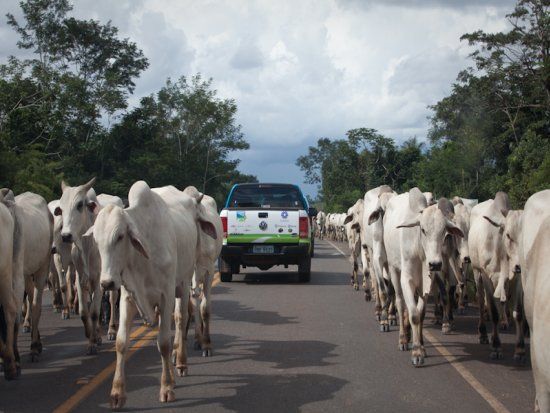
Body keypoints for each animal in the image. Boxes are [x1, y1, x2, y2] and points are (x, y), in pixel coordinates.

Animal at [92, 182, 216, 408]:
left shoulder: (166, 295)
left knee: (181, 319)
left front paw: (166, 387)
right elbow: (121, 343)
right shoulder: (127, 297)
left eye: (120, 236)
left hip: (184, 282)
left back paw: (181, 363)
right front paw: (117, 393)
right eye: (96, 240)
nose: (106, 283)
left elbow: (164, 343)